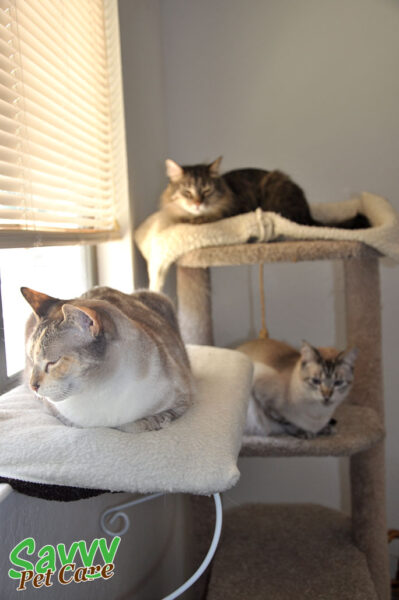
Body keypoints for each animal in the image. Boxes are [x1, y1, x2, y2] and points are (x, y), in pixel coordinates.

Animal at [21, 284, 194, 432]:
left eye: (53, 362)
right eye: (32, 360)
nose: (32, 386)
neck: (100, 390)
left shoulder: (183, 398)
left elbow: (136, 424)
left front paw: (153, 422)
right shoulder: (62, 415)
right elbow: (121, 425)